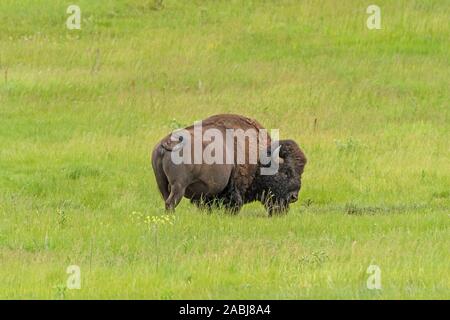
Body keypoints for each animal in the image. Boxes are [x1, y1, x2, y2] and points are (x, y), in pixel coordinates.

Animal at [151, 113, 306, 215]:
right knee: (171, 202)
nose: (294, 197)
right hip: (179, 185)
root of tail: (166, 143)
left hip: (162, 184)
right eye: (285, 172)